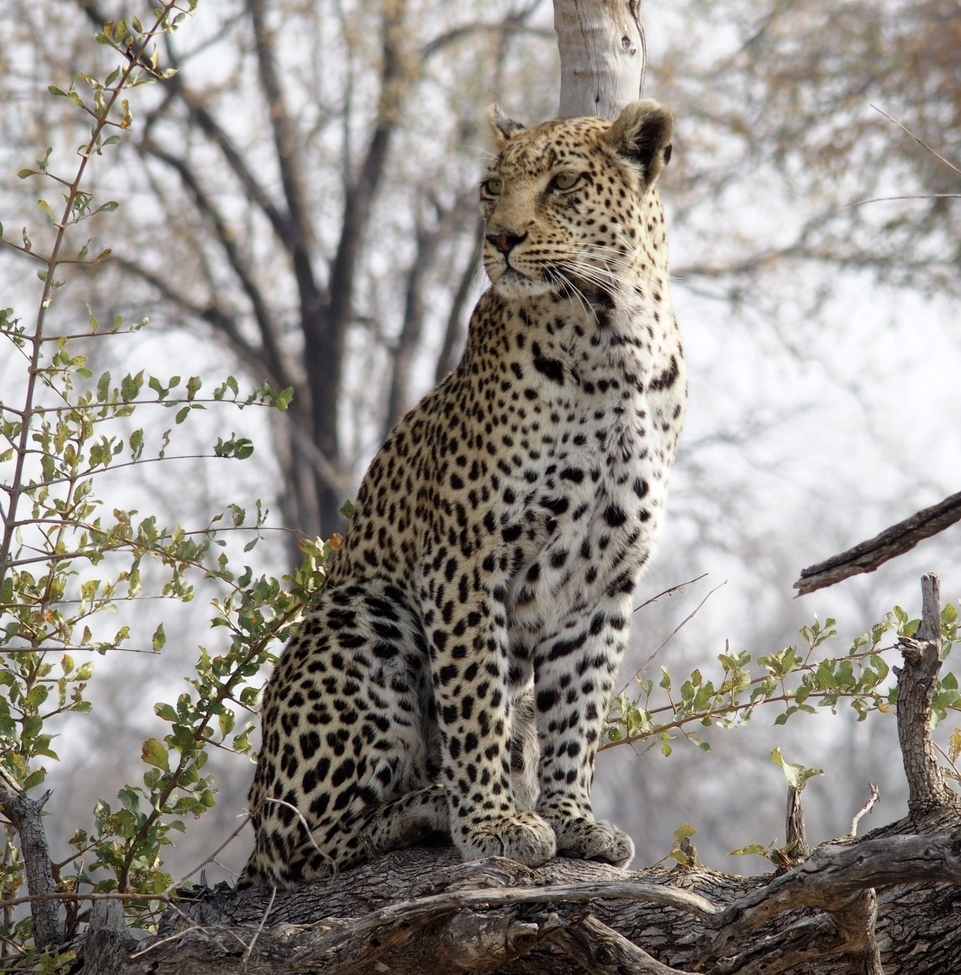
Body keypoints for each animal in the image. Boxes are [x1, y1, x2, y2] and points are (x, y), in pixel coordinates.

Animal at [239, 98, 686, 887]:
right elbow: (475, 696)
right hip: (369, 608)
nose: (500, 238)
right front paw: (493, 821)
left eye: (564, 183)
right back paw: (431, 804)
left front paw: (573, 819)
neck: (613, 335)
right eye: (489, 187)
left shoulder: (604, 574)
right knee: (297, 844)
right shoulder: (465, 554)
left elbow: (579, 705)